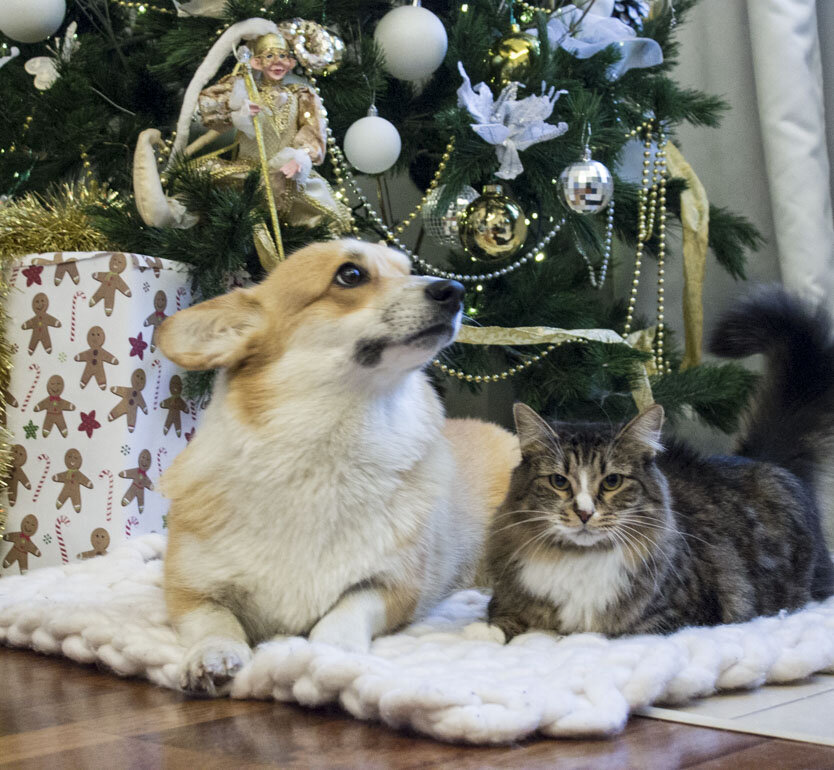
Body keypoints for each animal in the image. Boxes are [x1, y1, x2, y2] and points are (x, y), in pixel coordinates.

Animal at [158, 238, 516, 688]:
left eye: (407, 269)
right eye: (351, 275)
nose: (455, 290)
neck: (325, 454)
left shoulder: (394, 586)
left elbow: (345, 612)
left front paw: (331, 654)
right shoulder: (187, 592)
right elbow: (216, 622)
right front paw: (214, 654)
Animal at [484, 288, 832, 636]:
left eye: (612, 481)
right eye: (559, 481)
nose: (584, 513)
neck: (579, 560)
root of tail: (755, 458)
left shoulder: (672, 620)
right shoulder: (505, 602)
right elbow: (500, 622)